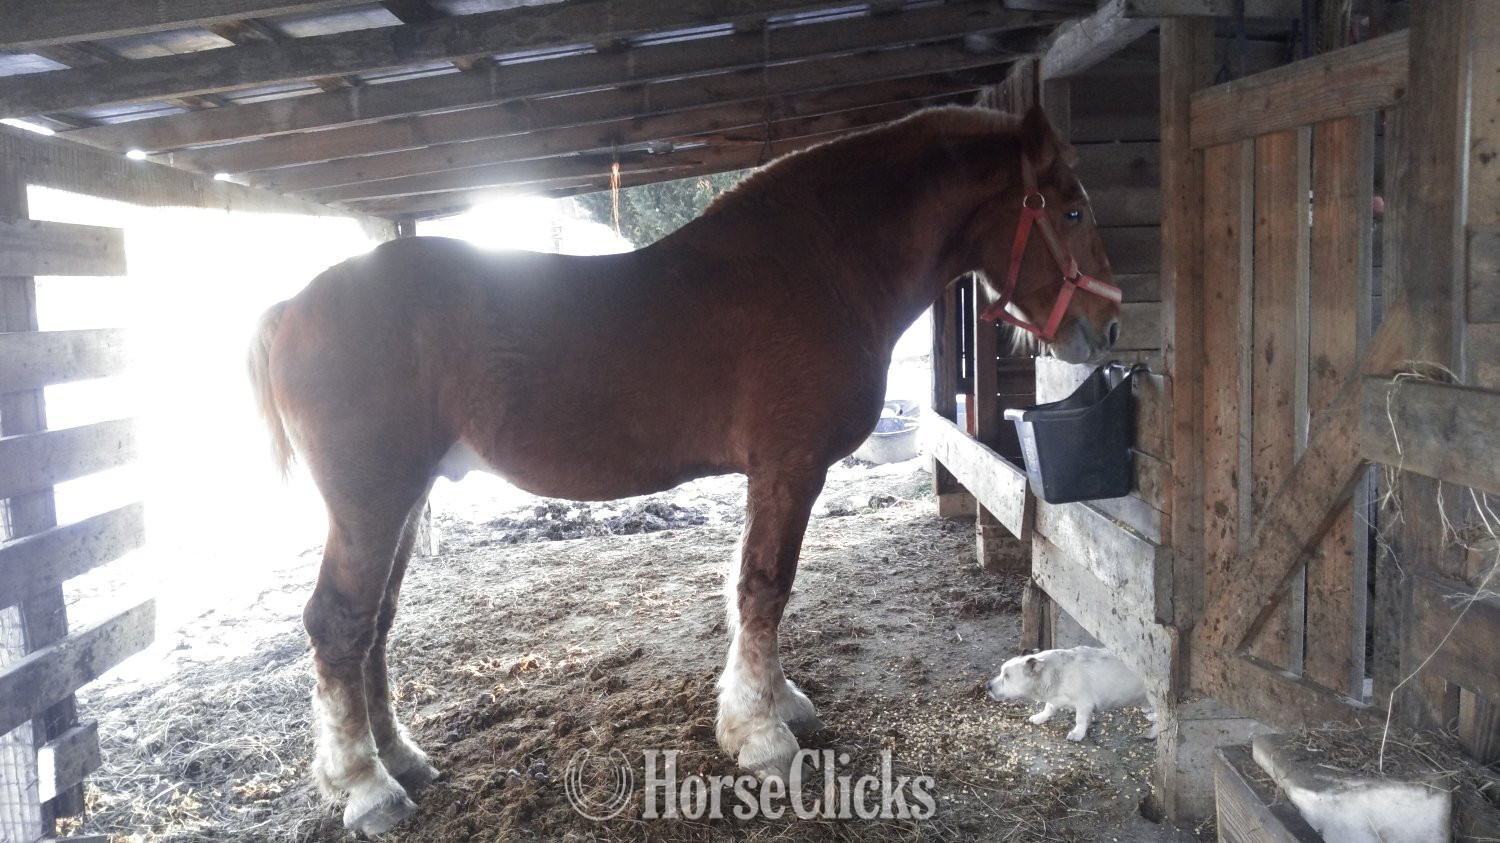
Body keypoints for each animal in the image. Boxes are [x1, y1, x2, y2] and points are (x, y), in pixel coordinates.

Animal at [247, 104, 1119, 835]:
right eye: (1071, 208)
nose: (1106, 323)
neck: (821, 263)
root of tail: (290, 308)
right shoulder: (790, 467)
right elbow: (765, 588)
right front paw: (764, 736)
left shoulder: (770, 473)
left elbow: (753, 592)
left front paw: (775, 705)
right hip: (371, 501)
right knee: (338, 624)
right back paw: (368, 787)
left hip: (399, 500)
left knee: (374, 625)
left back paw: (400, 757)